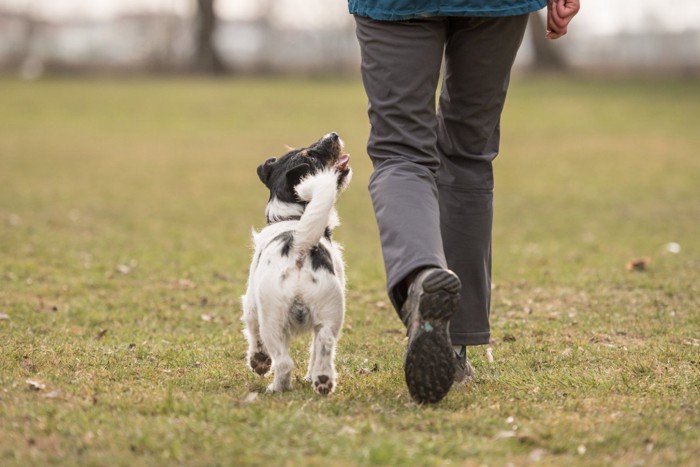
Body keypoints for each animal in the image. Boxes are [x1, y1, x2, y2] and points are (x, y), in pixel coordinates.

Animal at [242, 133, 352, 396]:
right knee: (324, 346)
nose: (333, 135)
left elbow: (253, 336)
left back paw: (276, 388)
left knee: (283, 362)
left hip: (273, 321)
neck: (292, 219)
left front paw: (258, 362)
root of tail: (299, 248)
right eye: (310, 153)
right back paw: (322, 380)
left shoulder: (250, 304)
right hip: (330, 314)